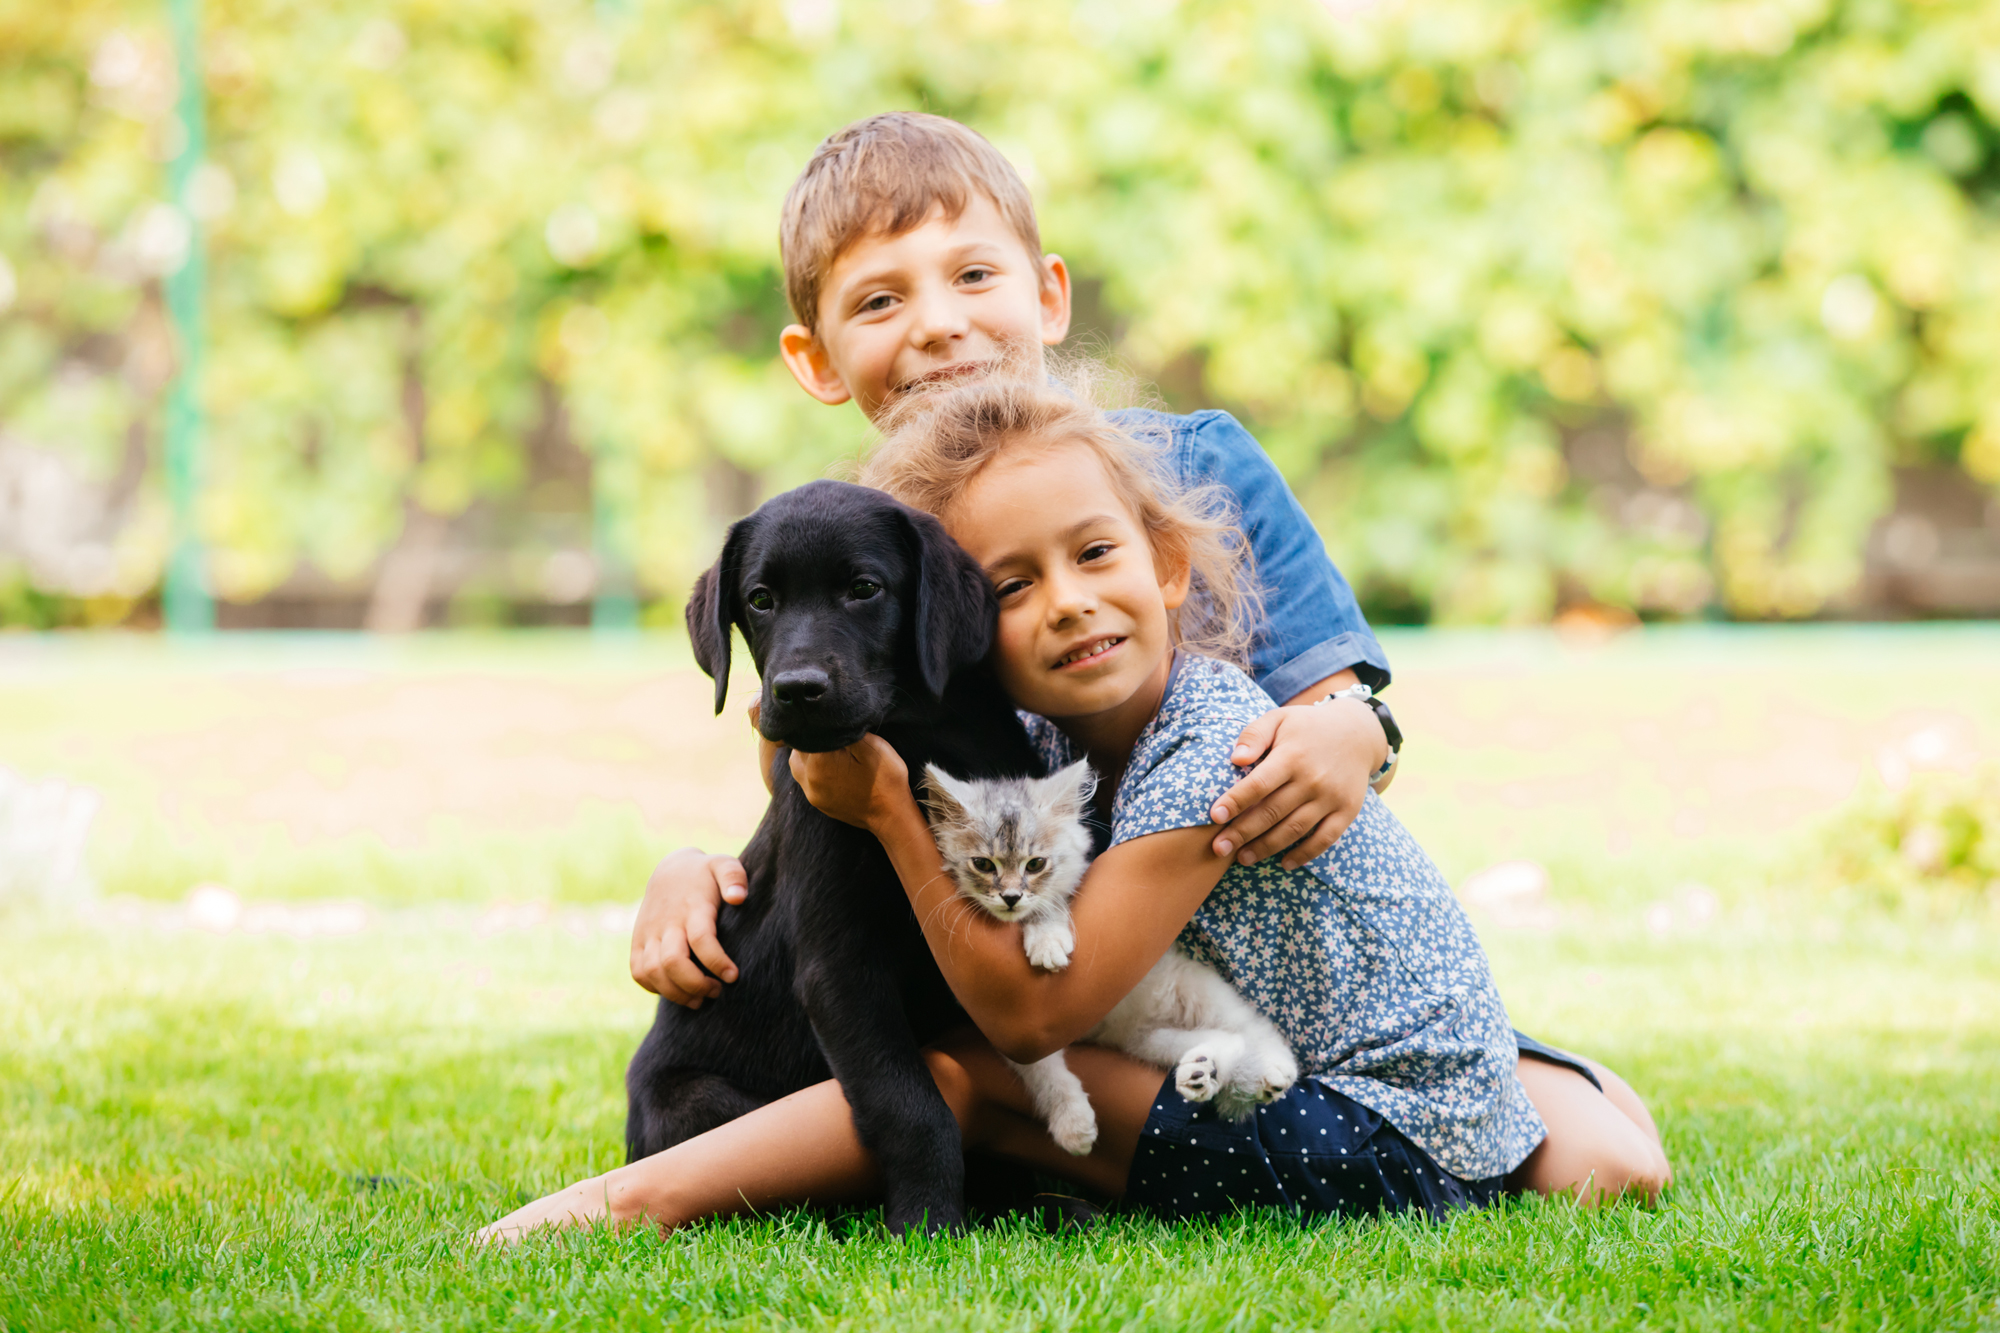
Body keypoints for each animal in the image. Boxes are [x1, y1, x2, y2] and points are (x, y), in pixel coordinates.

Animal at [624, 478, 1040, 1232]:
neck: (919, 746)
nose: (797, 690)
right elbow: (911, 1105)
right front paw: (930, 1223)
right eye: (760, 599)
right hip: (696, 1104)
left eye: (864, 589)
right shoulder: (841, 970)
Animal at [916, 756, 1296, 1152]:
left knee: (1256, 1031)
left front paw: (1047, 941)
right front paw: (1072, 1122)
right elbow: (1044, 1073)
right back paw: (1203, 1073)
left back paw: (1267, 1073)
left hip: (1197, 993)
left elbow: (1051, 902)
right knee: (1226, 1041)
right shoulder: (1013, 1034)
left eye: (1034, 865)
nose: (1010, 897)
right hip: (1147, 1042)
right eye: (984, 865)